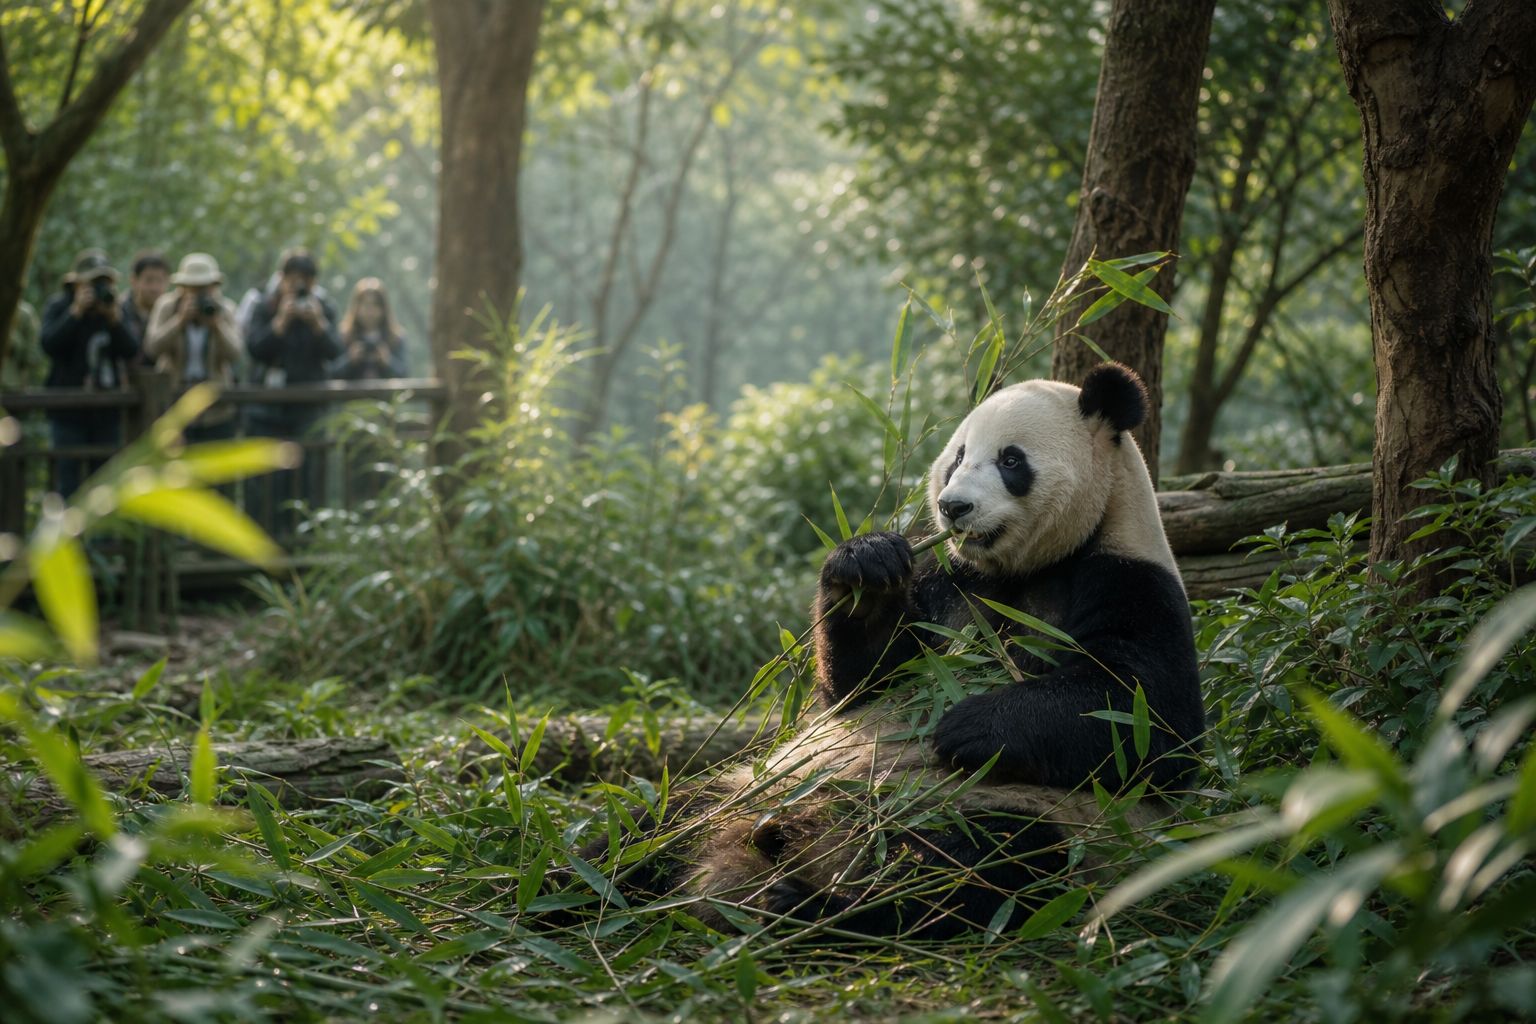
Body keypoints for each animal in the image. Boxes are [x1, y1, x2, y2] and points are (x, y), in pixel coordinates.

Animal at [607, 363, 1204, 939]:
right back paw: (608, 880)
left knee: (980, 870)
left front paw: (966, 725)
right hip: (748, 784)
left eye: (1011, 460)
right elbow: (866, 683)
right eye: (957, 456)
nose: (953, 506)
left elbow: (1149, 725)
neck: (1025, 568)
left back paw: (810, 909)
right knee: (653, 820)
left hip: (1024, 817)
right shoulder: (947, 577)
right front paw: (866, 564)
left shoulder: (1131, 578)